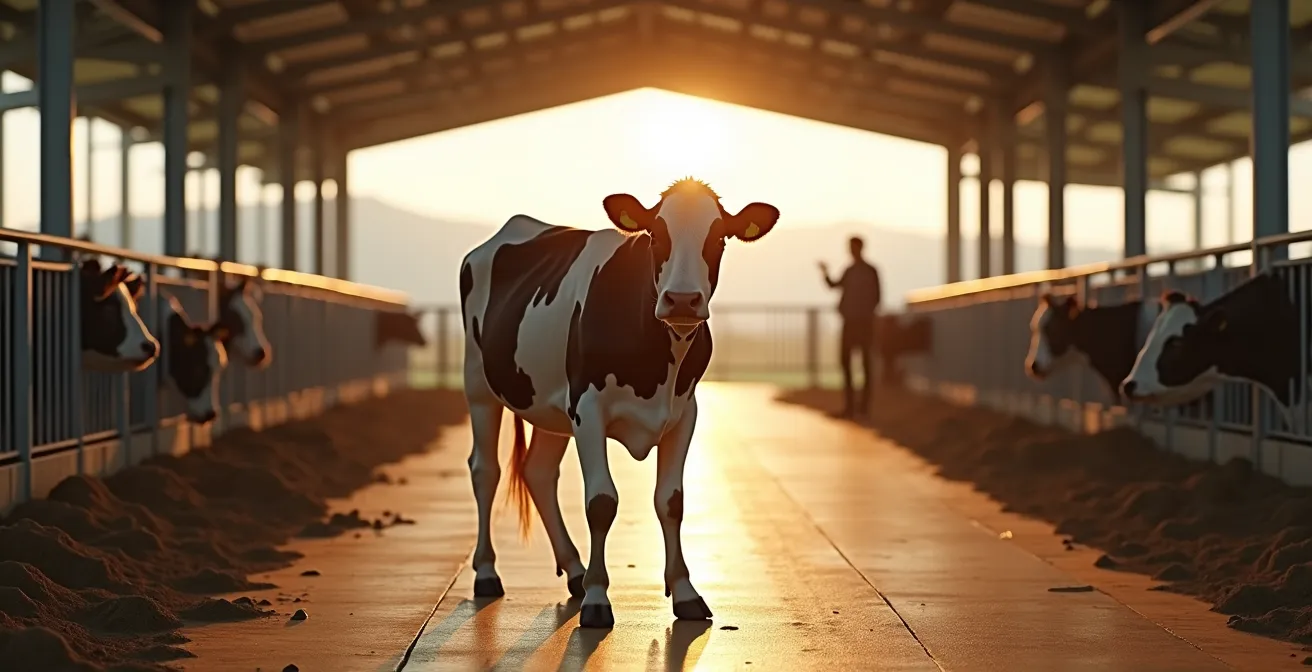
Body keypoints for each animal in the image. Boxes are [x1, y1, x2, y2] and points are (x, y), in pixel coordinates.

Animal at [459, 178, 779, 629]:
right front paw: (597, 598)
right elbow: (601, 501)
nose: (682, 300)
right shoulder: (587, 409)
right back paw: (487, 572)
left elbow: (671, 501)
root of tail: (513, 226)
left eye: (718, 237)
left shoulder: (685, 413)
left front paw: (685, 592)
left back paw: (573, 571)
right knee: (486, 470)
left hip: (551, 405)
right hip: (479, 384)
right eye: (656, 235)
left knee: (538, 472)